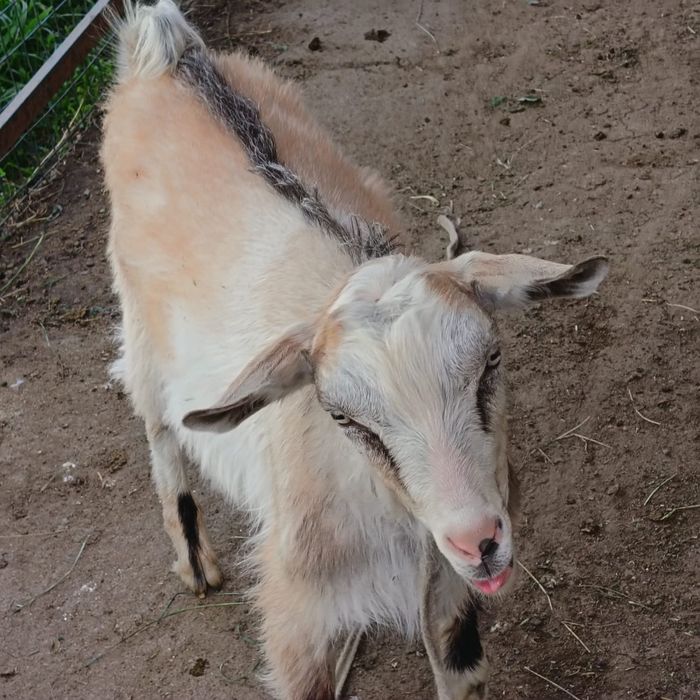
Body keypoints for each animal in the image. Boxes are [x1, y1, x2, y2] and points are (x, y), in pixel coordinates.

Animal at [102, 2, 608, 698]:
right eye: (343, 418)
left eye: (492, 363)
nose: (479, 541)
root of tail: (167, 54)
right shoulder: (299, 621)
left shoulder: (447, 591)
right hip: (140, 322)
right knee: (156, 422)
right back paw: (195, 561)